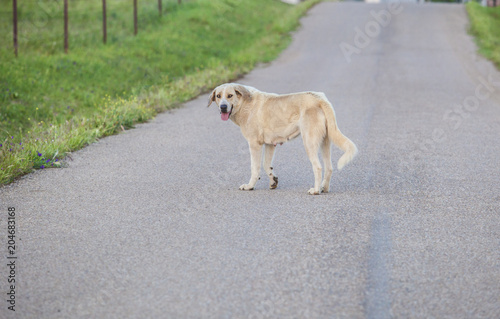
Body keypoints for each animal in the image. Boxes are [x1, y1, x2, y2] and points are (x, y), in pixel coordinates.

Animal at [208, 83, 360, 195]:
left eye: (230, 96)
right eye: (218, 96)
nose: (223, 107)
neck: (245, 104)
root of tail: (320, 99)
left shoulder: (255, 144)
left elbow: (255, 168)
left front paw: (250, 186)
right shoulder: (270, 144)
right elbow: (266, 165)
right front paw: (273, 182)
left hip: (309, 142)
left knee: (318, 167)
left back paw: (316, 190)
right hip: (325, 142)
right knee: (329, 168)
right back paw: (324, 188)